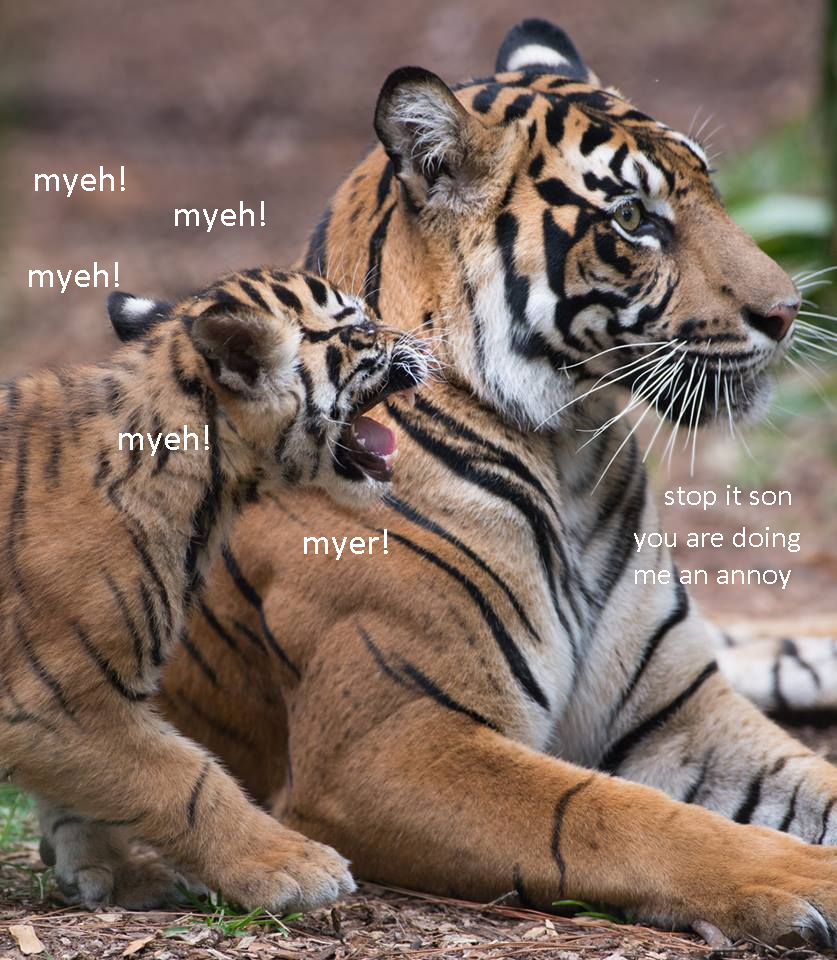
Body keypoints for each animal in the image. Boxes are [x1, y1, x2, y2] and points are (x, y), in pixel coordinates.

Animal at [0, 267, 426, 911]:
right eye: (360, 327)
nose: (426, 339)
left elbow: (78, 799)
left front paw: (109, 872)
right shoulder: (54, 696)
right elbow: (188, 781)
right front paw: (292, 867)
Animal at [159, 19, 837, 947]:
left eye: (712, 189)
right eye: (633, 218)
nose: (785, 313)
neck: (571, 450)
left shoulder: (680, 712)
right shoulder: (387, 742)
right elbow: (619, 816)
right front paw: (808, 881)